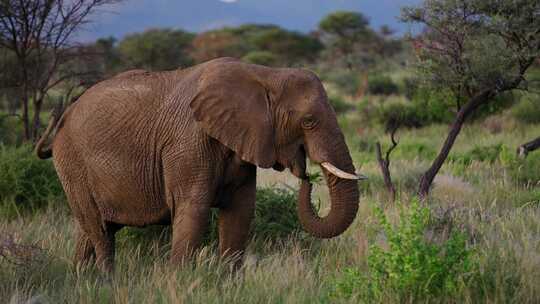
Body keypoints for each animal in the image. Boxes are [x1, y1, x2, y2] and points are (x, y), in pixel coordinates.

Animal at [35, 57, 364, 274]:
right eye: (308, 121)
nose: (307, 175)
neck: (264, 74)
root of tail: (64, 117)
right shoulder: (187, 143)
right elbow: (193, 210)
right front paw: (178, 283)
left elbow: (240, 214)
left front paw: (228, 284)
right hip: (72, 163)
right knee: (99, 229)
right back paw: (106, 281)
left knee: (91, 229)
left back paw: (82, 279)